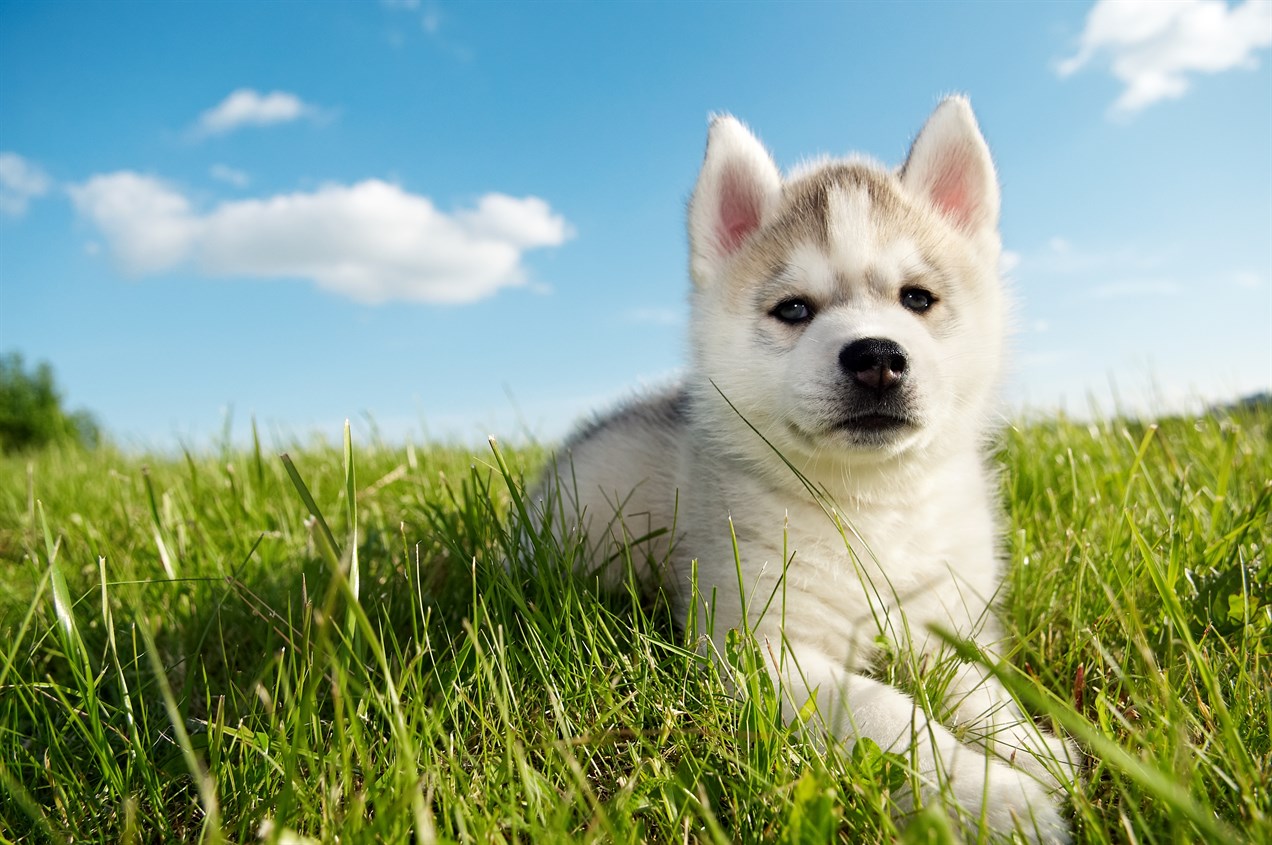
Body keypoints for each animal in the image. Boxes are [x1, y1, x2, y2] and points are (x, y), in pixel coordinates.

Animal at [531, 97, 1078, 839]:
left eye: (917, 299)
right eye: (794, 309)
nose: (877, 357)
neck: (873, 505)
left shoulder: (945, 619)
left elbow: (978, 685)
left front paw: (1029, 745)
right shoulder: (759, 644)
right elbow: (887, 711)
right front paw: (993, 797)